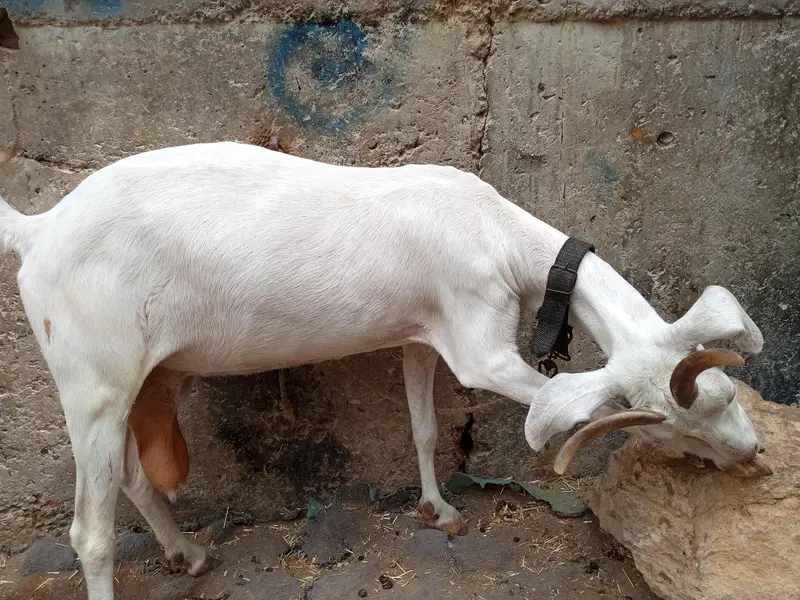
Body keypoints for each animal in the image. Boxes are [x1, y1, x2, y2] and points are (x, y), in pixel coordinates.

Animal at [0, 140, 770, 600]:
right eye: (684, 422)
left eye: (727, 389)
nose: (754, 456)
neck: (497, 234)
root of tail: (39, 229)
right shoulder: (480, 346)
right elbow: (548, 392)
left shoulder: (424, 337)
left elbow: (424, 426)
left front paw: (440, 509)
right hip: (91, 380)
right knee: (90, 532)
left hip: (148, 373)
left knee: (132, 475)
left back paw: (187, 554)